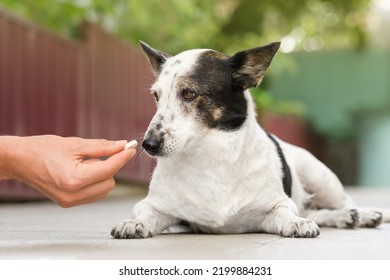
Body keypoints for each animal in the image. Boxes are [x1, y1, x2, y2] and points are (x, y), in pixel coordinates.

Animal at [111, 41, 388, 238]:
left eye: (188, 93)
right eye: (156, 96)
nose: (148, 145)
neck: (210, 158)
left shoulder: (275, 207)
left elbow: (287, 212)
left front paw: (296, 223)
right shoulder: (157, 207)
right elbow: (145, 213)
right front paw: (134, 223)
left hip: (321, 178)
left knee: (342, 202)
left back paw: (366, 214)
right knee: (313, 209)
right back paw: (344, 217)